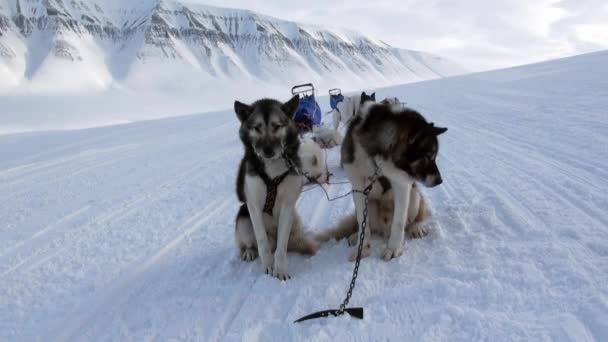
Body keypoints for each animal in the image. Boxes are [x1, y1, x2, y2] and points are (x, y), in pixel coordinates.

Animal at [234, 96, 316, 280]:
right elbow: (261, 240)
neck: (272, 171)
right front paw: (268, 266)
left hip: (294, 218)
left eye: (277, 126)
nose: (268, 151)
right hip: (243, 218)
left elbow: (282, 244)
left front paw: (280, 269)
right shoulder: (253, 205)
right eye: (257, 127)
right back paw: (249, 251)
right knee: (250, 244)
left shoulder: (287, 206)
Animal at [338, 92, 446, 260]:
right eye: (428, 156)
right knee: (368, 225)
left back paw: (416, 227)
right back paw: (357, 236)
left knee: (411, 220)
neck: (376, 160)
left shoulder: (402, 184)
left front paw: (394, 248)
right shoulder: (357, 187)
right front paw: (362, 248)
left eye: (434, 156)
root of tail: (384, 229)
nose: (439, 181)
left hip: (414, 196)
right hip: (370, 204)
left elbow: (399, 222)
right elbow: (362, 222)